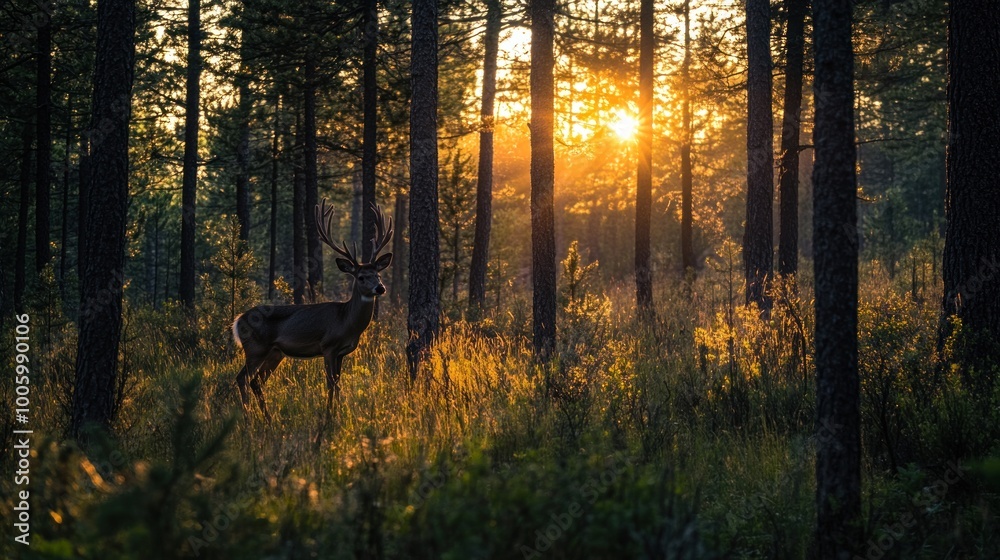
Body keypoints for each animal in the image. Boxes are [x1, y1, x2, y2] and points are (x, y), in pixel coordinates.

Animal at [233, 199, 392, 421]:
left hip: (275, 353)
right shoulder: (328, 347)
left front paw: (335, 413)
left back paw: (268, 419)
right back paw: (248, 418)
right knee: (242, 378)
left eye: (378, 275)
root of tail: (238, 320)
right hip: (255, 348)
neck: (346, 321)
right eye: (361, 277)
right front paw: (330, 416)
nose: (380, 288)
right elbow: (331, 384)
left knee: (255, 381)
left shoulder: (342, 352)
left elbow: (337, 382)